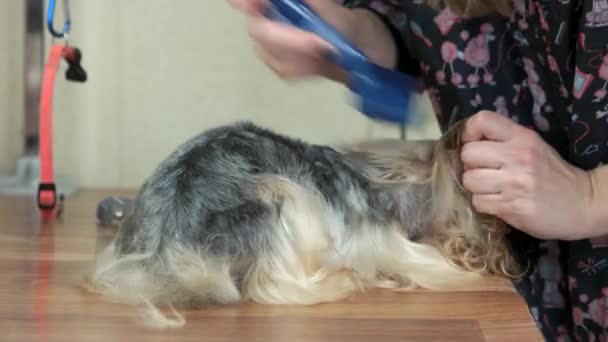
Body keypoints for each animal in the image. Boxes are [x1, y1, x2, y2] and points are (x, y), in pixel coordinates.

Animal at [84, 119, 524, 328]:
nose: (508, 252)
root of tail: (169, 247)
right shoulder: (385, 239)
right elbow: (430, 264)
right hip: (288, 198)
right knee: (267, 284)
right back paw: (342, 280)